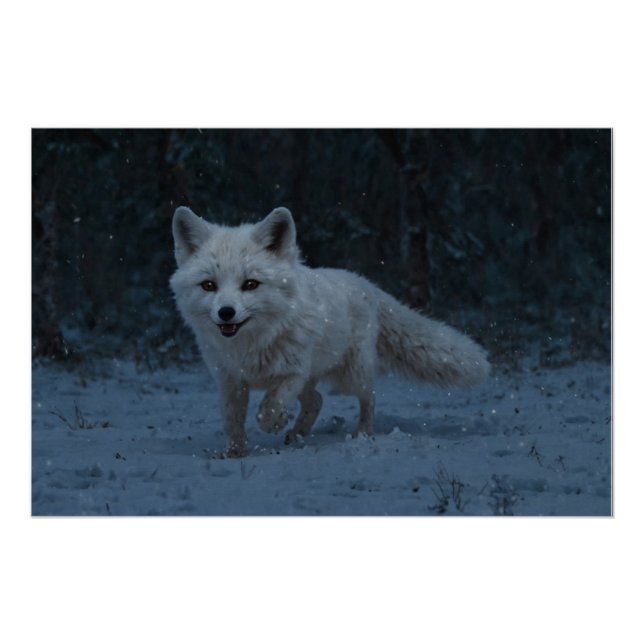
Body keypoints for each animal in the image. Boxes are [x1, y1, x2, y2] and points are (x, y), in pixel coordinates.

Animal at [170, 206, 490, 457]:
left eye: (250, 284)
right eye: (208, 285)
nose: (226, 313)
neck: (251, 345)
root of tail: (366, 285)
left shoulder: (292, 373)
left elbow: (270, 406)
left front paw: (272, 423)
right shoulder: (230, 381)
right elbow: (232, 421)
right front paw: (234, 453)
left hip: (352, 376)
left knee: (368, 399)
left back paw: (363, 435)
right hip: (317, 378)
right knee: (317, 401)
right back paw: (298, 434)